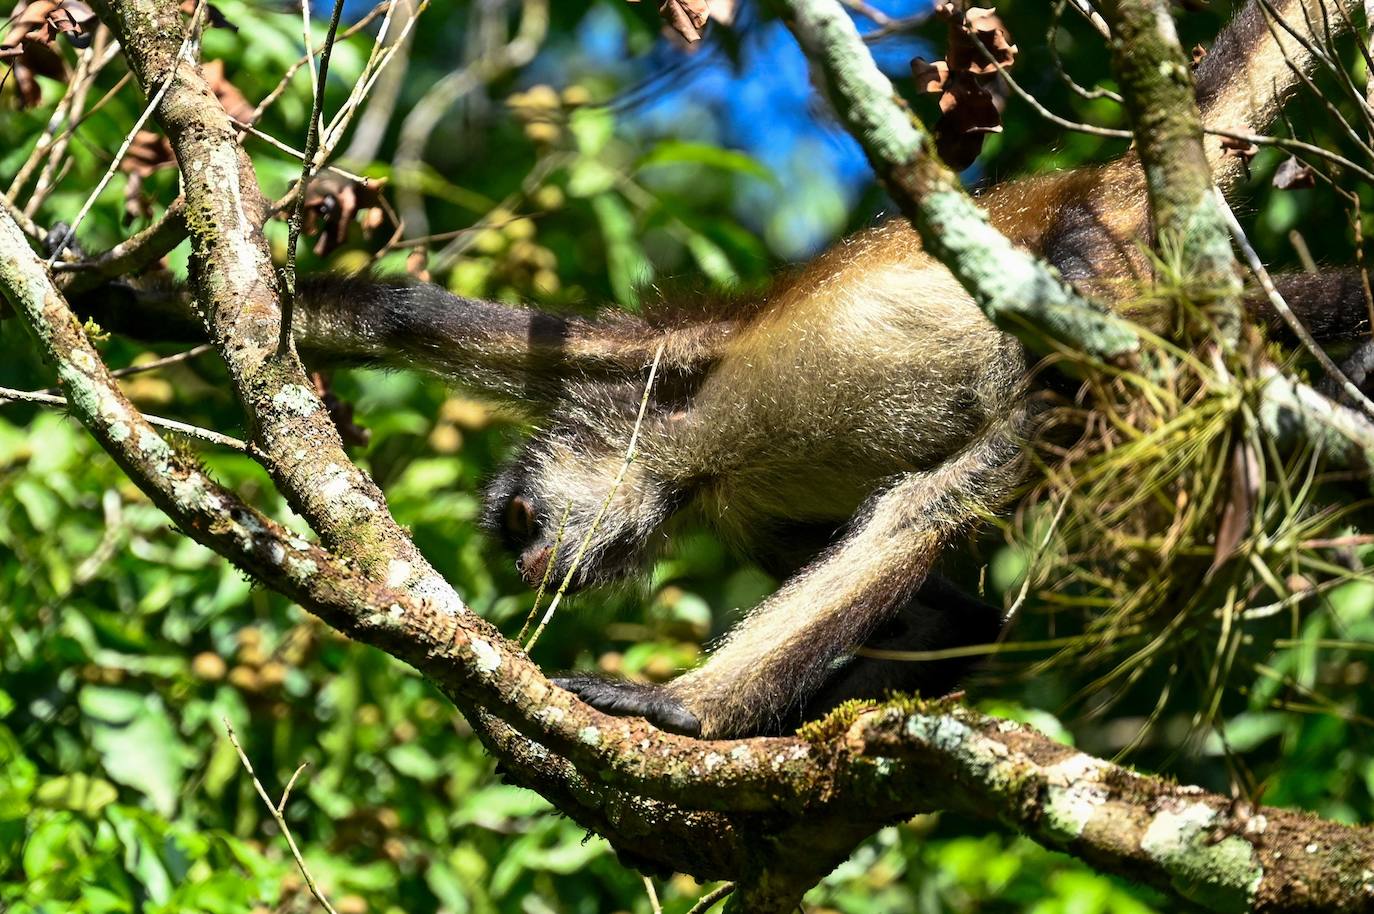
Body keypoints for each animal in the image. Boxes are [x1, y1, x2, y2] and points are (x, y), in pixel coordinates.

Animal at [72, 0, 1374, 736]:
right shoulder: (725, 496)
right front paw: (109, 293)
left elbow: (401, 313)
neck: (688, 458)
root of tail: (1111, 177)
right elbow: (965, 621)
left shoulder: (656, 367)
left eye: (522, 521)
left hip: (1098, 265)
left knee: (958, 474)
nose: (525, 560)